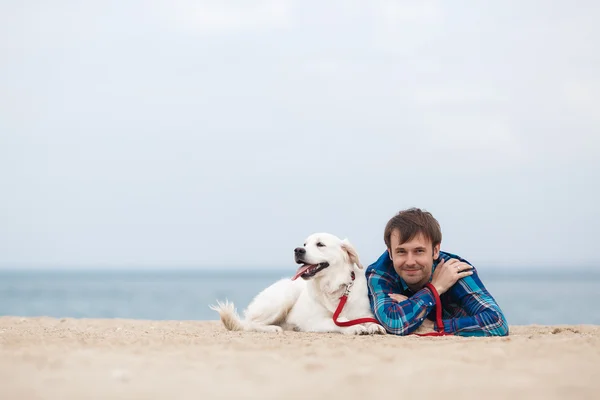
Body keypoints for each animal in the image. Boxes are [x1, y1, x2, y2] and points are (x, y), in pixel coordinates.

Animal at [209, 231, 386, 334]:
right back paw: (272, 328)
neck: (333, 287)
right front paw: (354, 326)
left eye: (320, 244)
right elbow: (339, 321)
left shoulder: (364, 313)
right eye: (305, 244)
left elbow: (368, 320)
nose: (298, 250)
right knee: (250, 323)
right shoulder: (316, 321)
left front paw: (374, 326)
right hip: (285, 295)